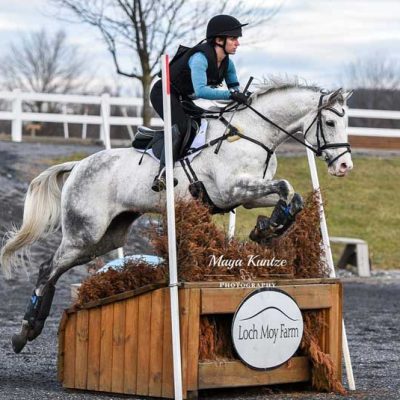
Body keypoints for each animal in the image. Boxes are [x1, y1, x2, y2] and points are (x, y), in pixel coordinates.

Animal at [0, 82, 352, 354]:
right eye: (330, 123)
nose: (344, 166)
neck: (253, 134)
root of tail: (77, 165)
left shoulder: (249, 195)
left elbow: (292, 194)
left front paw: (267, 227)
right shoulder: (233, 190)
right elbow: (286, 186)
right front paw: (270, 227)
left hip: (106, 237)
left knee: (55, 271)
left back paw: (31, 329)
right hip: (85, 233)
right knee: (48, 268)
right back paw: (24, 332)